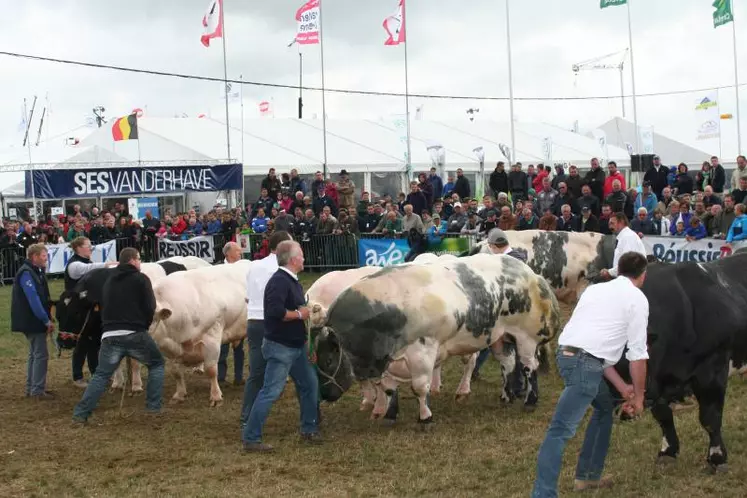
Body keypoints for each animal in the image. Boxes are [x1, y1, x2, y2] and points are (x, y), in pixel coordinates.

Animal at [312, 253, 564, 424]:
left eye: (328, 360)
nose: (325, 395)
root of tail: (531, 274)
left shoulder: (422, 350)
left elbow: (419, 387)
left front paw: (425, 417)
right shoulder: (387, 359)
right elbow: (389, 388)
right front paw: (390, 414)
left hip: (526, 338)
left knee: (529, 367)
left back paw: (529, 401)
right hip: (499, 337)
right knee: (508, 364)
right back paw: (506, 396)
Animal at [612, 255, 747, 472]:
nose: (622, 411)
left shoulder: (712, 369)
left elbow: (710, 417)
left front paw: (717, 458)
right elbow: (663, 416)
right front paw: (668, 452)